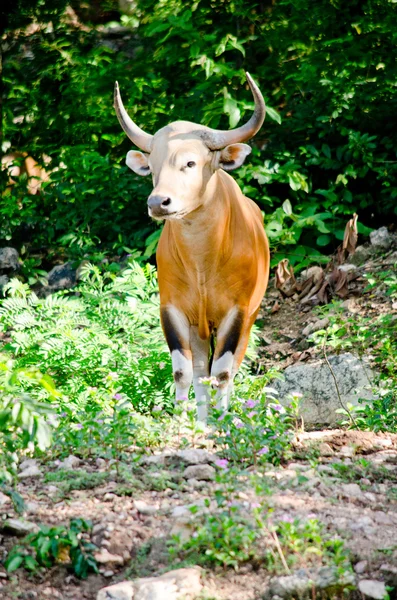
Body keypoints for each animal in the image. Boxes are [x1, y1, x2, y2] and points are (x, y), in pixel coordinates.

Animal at [113, 74, 270, 422]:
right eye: (153, 166)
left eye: (190, 162)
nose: (158, 202)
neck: (202, 264)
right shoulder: (172, 309)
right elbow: (183, 372)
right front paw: (184, 421)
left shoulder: (237, 312)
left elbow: (223, 372)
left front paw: (223, 423)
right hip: (200, 329)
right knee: (200, 372)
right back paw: (201, 417)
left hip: (249, 318)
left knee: (229, 369)